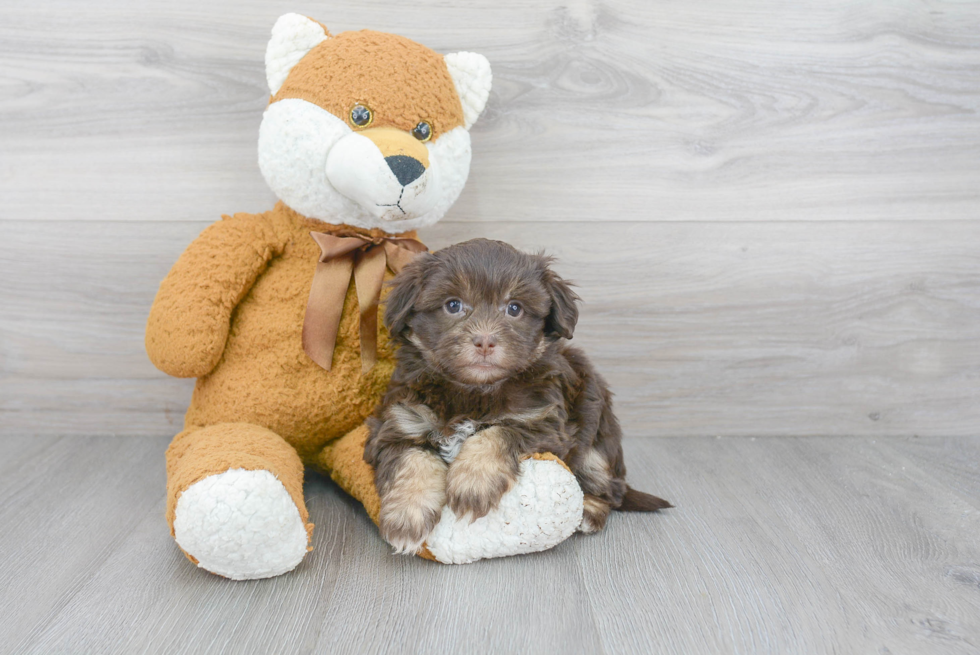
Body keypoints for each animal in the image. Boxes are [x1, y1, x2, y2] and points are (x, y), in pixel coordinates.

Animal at [364, 240, 668, 552]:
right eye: (453, 305)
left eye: (514, 308)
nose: (485, 341)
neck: (475, 391)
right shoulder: (400, 422)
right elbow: (412, 461)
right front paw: (407, 516)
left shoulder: (542, 422)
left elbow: (497, 431)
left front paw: (473, 483)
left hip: (595, 438)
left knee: (608, 488)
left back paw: (590, 511)